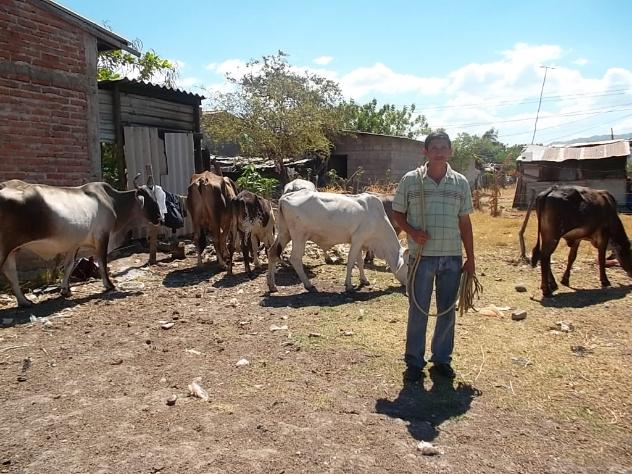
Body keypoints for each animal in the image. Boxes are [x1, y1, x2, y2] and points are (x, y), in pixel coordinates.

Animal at [0, 179, 161, 307]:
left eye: (155, 197)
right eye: (148, 199)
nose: (160, 218)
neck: (113, 202)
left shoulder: (74, 244)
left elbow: (69, 265)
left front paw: (65, 290)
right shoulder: (102, 237)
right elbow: (102, 262)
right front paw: (109, 285)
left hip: (11, 250)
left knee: (11, 273)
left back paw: (24, 301)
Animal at [267, 190, 408, 293]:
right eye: (408, 266)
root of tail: (285, 197)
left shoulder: (358, 242)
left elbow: (360, 262)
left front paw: (364, 280)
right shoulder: (358, 239)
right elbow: (351, 262)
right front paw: (349, 285)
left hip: (284, 233)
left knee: (272, 252)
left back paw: (272, 285)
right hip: (299, 236)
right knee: (295, 258)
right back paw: (308, 284)